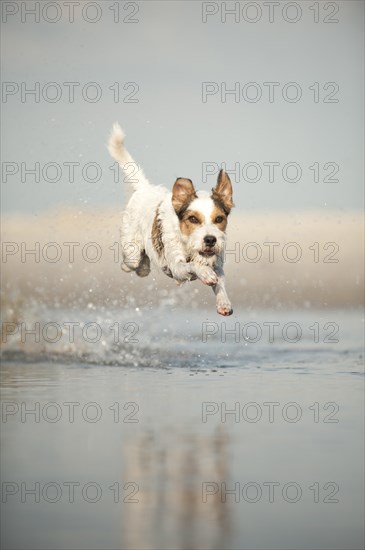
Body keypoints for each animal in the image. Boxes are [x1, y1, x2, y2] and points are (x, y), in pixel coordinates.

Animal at [107, 123, 233, 316]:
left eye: (219, 218)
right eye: (193, 219)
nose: (210, 239)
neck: (190, 246)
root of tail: (145, 188)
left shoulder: (217, 263)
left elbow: (220, 282)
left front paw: (223, 302)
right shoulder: (177, 266)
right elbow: (192, 266)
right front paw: (205, 273)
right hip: (131, 247)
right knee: (132, 262)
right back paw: (133, 266)